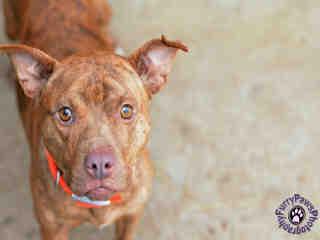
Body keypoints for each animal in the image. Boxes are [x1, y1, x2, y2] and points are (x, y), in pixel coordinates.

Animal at [0, 0, 188, 240]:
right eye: (65, 114)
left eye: (126, 111)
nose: (99, 164)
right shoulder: (52, 229)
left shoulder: (131, 215)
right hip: (11, 23)